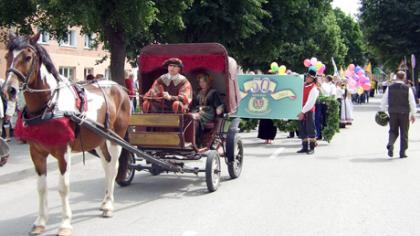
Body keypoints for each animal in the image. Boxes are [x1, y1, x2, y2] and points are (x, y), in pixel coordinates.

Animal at [1, 32, 130, 235]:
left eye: (28, 57)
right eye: (7, 56)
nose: (9, 90)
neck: (49, 106)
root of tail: (120, 88)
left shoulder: (63, 152)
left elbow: (63, 187)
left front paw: (65, 224)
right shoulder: (36, 152)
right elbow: (41, 187)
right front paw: (40, 222)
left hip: (116, 137)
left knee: (114, 166)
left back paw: (109, 205)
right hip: (99, 139)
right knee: (107, 165)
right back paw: (104, 202)